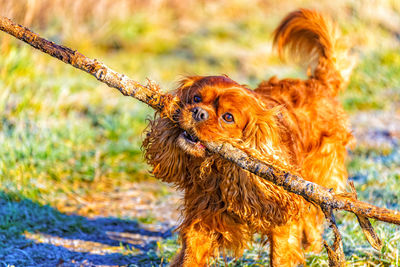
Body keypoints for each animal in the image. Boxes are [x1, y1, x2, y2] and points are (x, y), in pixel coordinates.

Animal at [143, 9, 354, 266]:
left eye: (228, 117)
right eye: (195, 98)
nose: (198, 112)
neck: (220, 170)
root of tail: (319, 84)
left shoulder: (282, 222)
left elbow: (281, 255)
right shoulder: (201, 221)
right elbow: (191, 257)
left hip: (316, 179)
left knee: (313, 219)